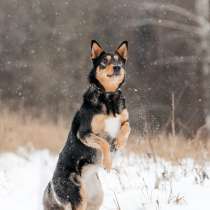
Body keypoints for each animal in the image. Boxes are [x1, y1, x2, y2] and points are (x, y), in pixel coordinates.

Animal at [42, 40, 130, 210]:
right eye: (104, 61)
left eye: (119, 61)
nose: (117, 67)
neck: (108, 96)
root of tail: (52, 184)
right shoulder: (84, 133)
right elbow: (103, 143)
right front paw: (107, 163)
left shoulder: (124, 120)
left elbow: (127, 128)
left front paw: (119, 143)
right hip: (77, 197)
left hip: (96, 198)